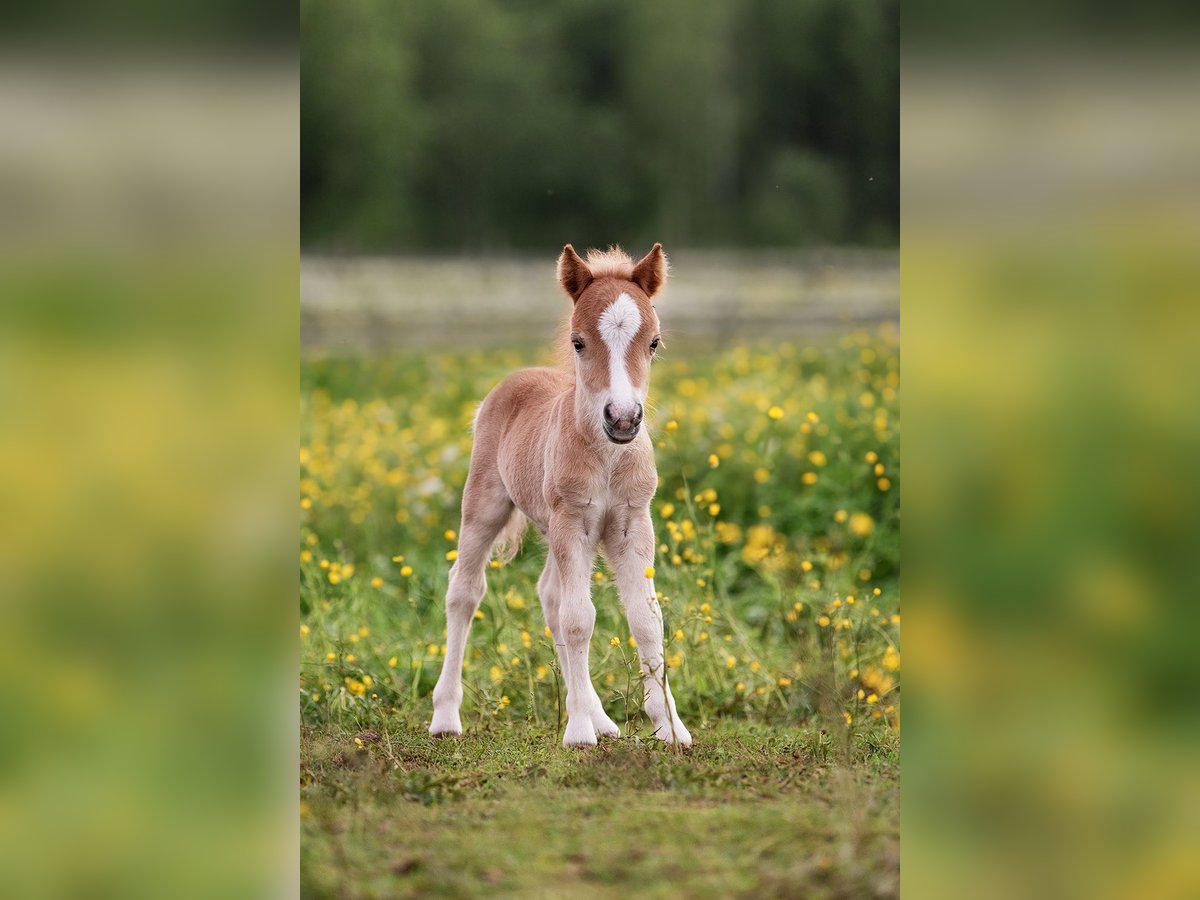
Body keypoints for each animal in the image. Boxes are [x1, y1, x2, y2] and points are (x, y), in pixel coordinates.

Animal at [432, 243, 696, 748]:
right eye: (578, 342)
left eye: (654, 343)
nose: (623, 418)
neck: (608, 457)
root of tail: (513, 381)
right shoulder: (572, 521)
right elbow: (579, 618)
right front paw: (576, 733)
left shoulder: (632, 522)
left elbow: (646, 620)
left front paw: (671, 727)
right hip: (487, 506)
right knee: (465, 591)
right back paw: (446, 717)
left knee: (550, 596)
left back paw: (602, 720)